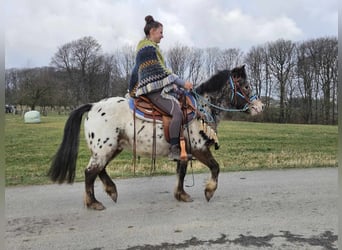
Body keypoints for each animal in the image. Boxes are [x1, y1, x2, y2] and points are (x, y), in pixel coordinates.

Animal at [48, 64, 264, 209]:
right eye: (246, 86)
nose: (260, 107)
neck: (201, 108)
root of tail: (93, 106)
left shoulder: (184, 152)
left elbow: (181, 173)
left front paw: (181, 194)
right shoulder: (199, 149)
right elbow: (215, 167)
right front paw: (209, 191)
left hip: (111, 148)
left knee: (99, 170)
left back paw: (111, 190)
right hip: (104, 149)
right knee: (90, 172)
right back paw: (93, 202)